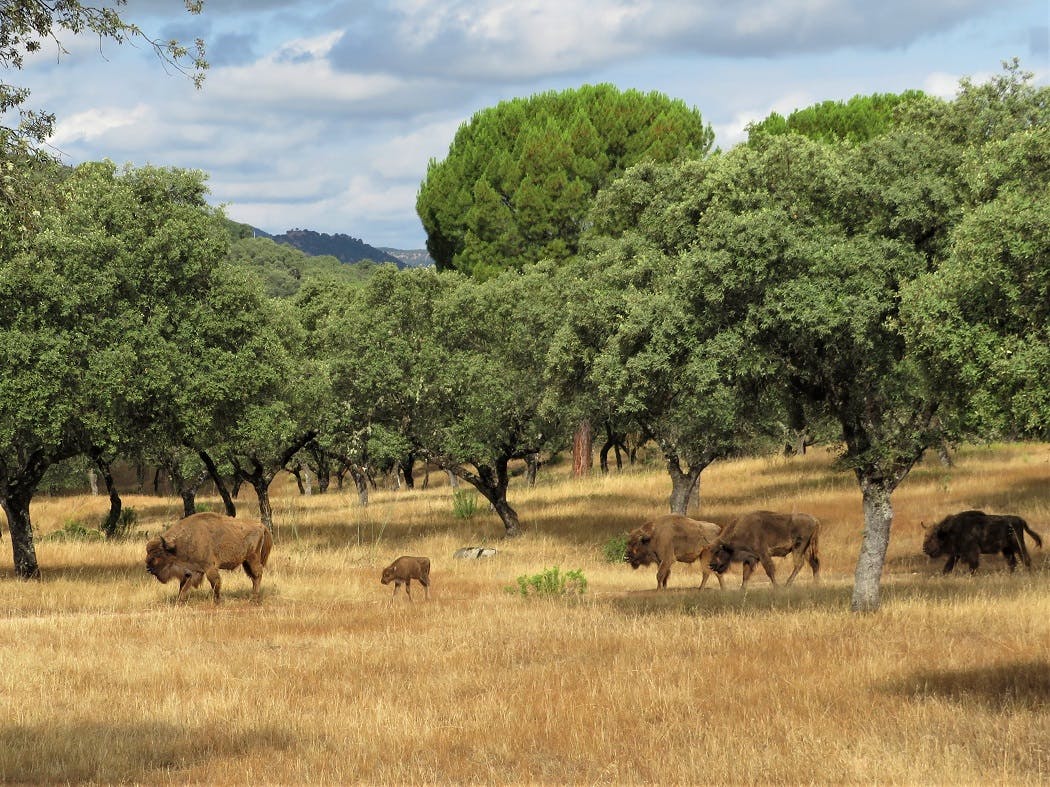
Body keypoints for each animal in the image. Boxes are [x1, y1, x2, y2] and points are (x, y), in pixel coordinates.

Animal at [144, 514, 273, 608]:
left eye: (158, 553)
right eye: (148, 551)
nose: (148, 568)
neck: (176, 546)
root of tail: (261, 526)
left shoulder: (209, 568)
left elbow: (215, 583)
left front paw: (218, 601)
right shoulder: (191, 571)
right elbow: (183, 587)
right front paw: (179, 602)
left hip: (252, 558)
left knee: (257, 575)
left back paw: (254, 599)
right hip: (246, 561)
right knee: (253, 576)